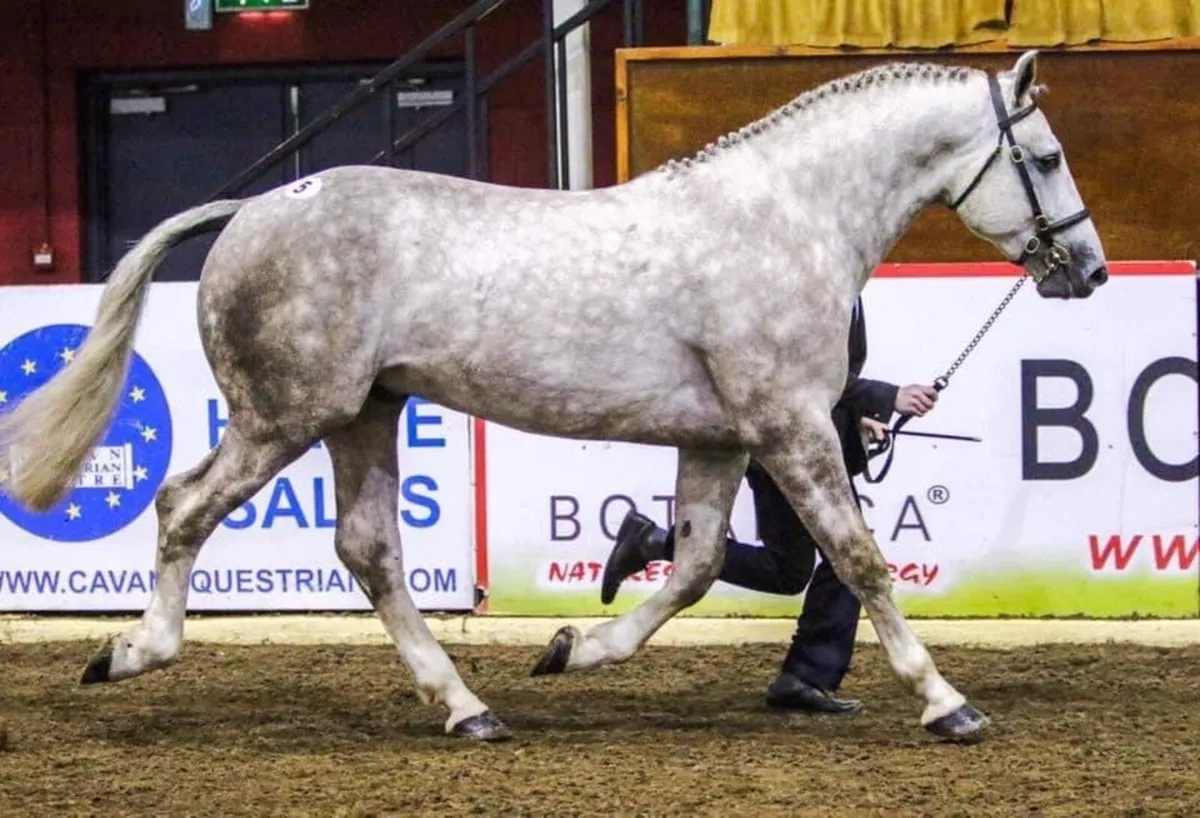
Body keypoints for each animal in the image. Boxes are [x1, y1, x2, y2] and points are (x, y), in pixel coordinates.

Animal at [0, 50, 1106, 743]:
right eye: (1048, 157)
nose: (1089, 270)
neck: (786, 218)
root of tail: (257, 206)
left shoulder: (720, 438)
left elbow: (695, 563)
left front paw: (573, 646)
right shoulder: (791, 426)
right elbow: (862, 561)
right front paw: (946, 701)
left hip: (362, 416)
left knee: (369, 550)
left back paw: (467, 706)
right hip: (285, 416)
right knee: (183, 505)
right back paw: (131, 651)